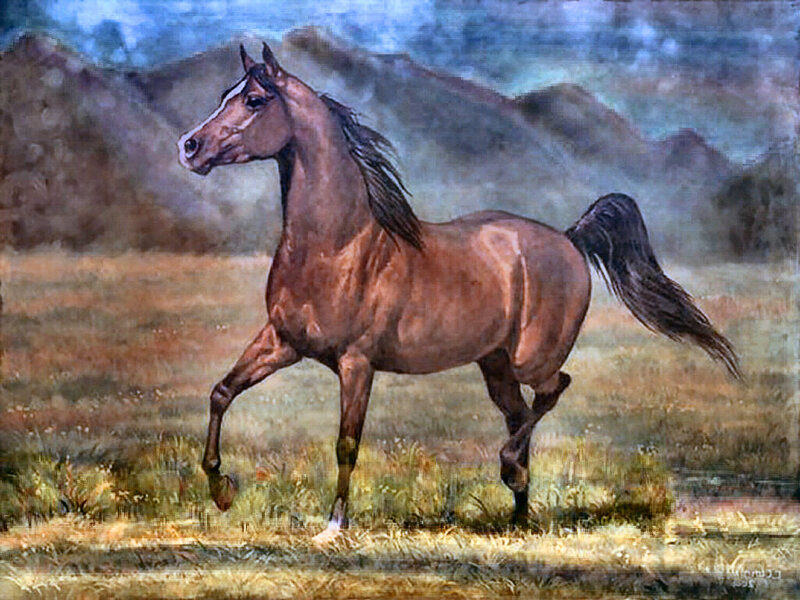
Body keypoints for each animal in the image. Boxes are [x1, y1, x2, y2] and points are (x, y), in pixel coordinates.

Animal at [178, 43, 740, 543]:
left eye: (254, 100)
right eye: (225, 94)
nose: (189, 146)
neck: (337, 245)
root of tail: (569, 237)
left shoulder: (356, 363)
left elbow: (346, 444)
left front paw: (333, 527)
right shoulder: (282, 341)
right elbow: (221, 392)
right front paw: (222, 489)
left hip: (531, 358)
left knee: (553, 390)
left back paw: (511, 471)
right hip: (496, 364)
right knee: (520, 413)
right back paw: (519, 511)